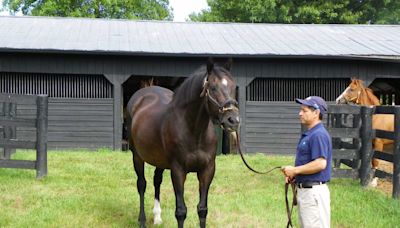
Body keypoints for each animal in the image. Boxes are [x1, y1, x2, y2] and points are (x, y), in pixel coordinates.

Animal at [126, 59, 238, 228]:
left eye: (233, 86)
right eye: (213, 87)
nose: (233, 120)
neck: (194, 131)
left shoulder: (207, 170)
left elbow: (202, 209)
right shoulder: (178, 170)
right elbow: (181, 211)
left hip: (159, 160)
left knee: (156, 180)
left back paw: (157, 217)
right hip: (137, 156)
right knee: (141, 184)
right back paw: (142, 221)